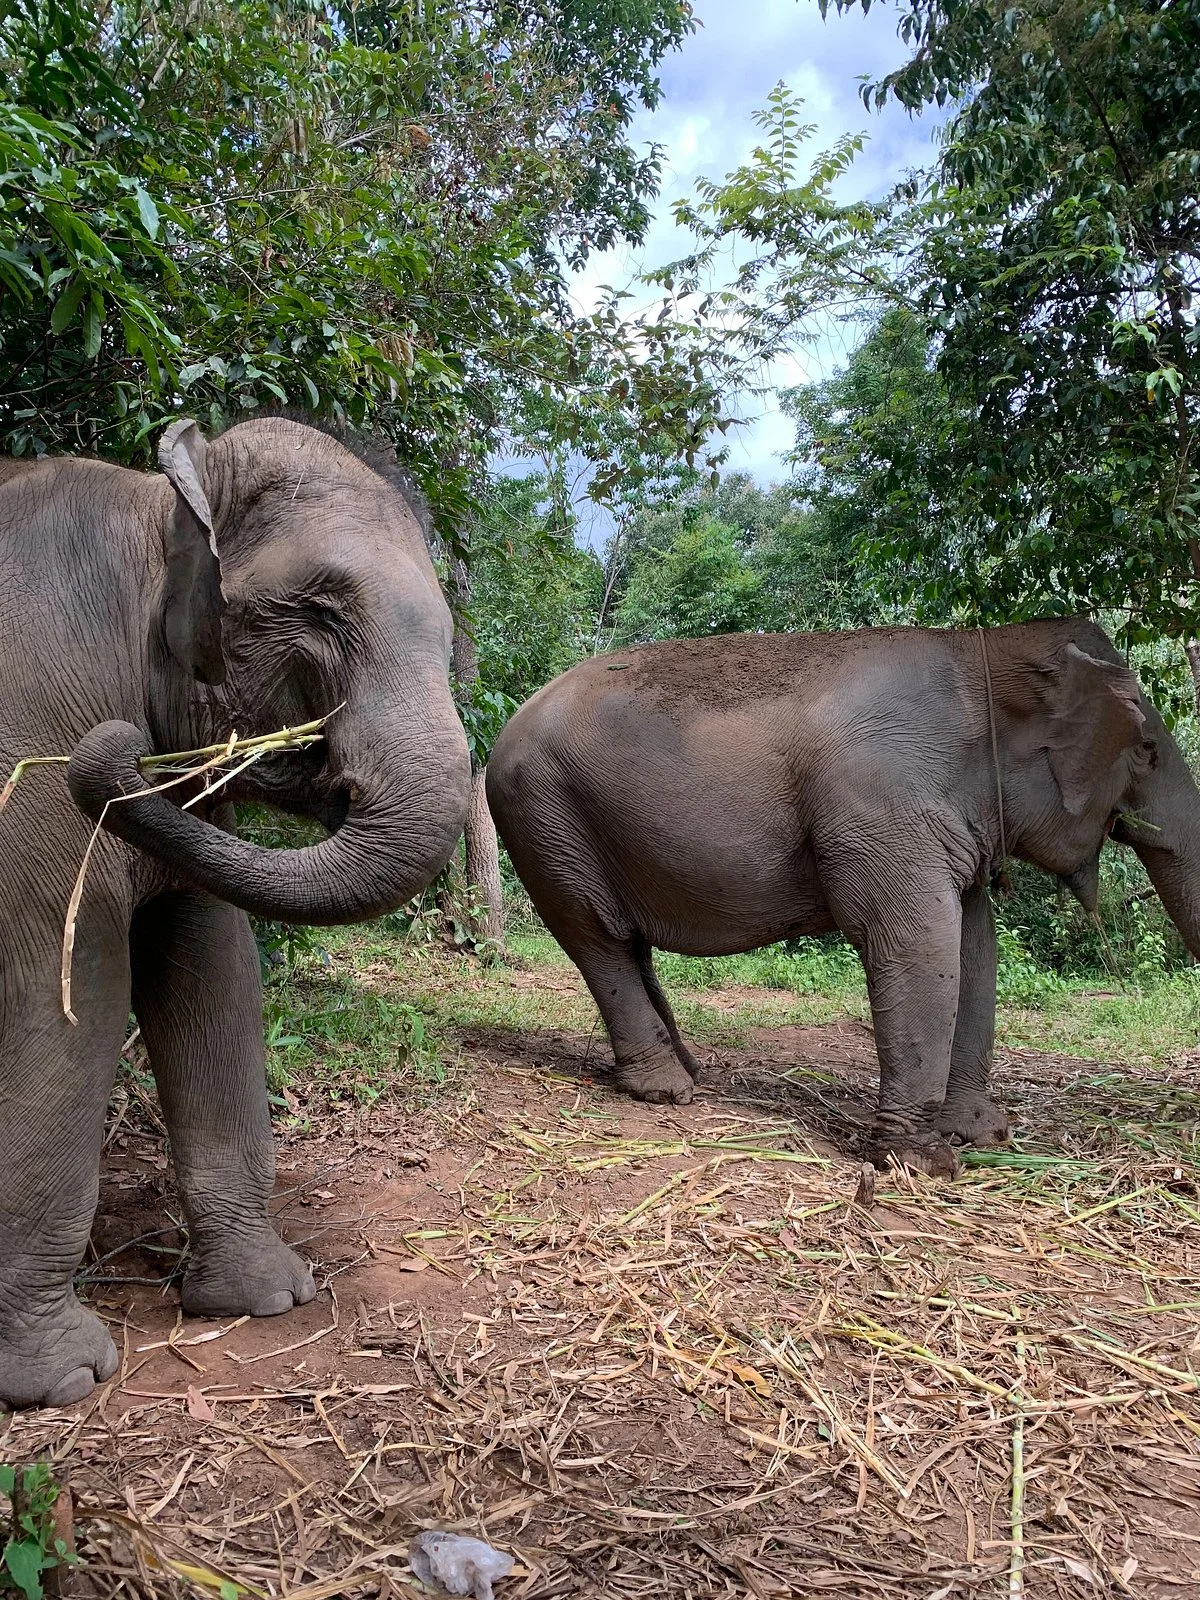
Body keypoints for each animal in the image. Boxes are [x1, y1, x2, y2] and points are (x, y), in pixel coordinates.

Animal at [0, 416, 470, 1408]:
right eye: (322, 612)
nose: (109, 755)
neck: (151, 505)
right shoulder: (27, 751)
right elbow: (71, 993)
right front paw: (61, 1382)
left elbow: (212, 964)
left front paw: (267, 1301)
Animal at [487, 619, 1200, 1176]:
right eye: (1146, 749)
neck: (982, 648)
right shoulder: (881, 804)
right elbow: (915, 941)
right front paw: (922, 1163)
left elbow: (975, 946)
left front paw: (983, 1134)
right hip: (546, 823)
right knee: (598, 939)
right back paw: (666, 1092)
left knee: (629, 946)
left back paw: (689, 1074)